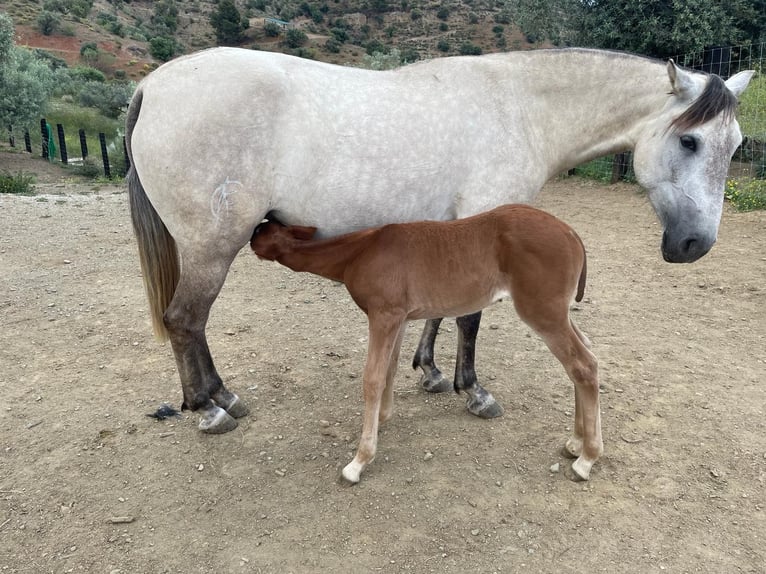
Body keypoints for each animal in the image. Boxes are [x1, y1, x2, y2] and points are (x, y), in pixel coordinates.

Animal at [255, 205, 604, 484]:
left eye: (261, 229)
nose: (252, 234)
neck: (362, 251)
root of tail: (571, 234)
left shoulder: (383, 316)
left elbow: (372, 378)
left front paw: (359, 461)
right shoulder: (397, 318)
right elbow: (391, 368)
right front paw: (382, 419)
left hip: (542, 312)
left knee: (583, 365)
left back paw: (586, 459)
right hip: (557, 313)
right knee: (587, 356)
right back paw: (576, 443)